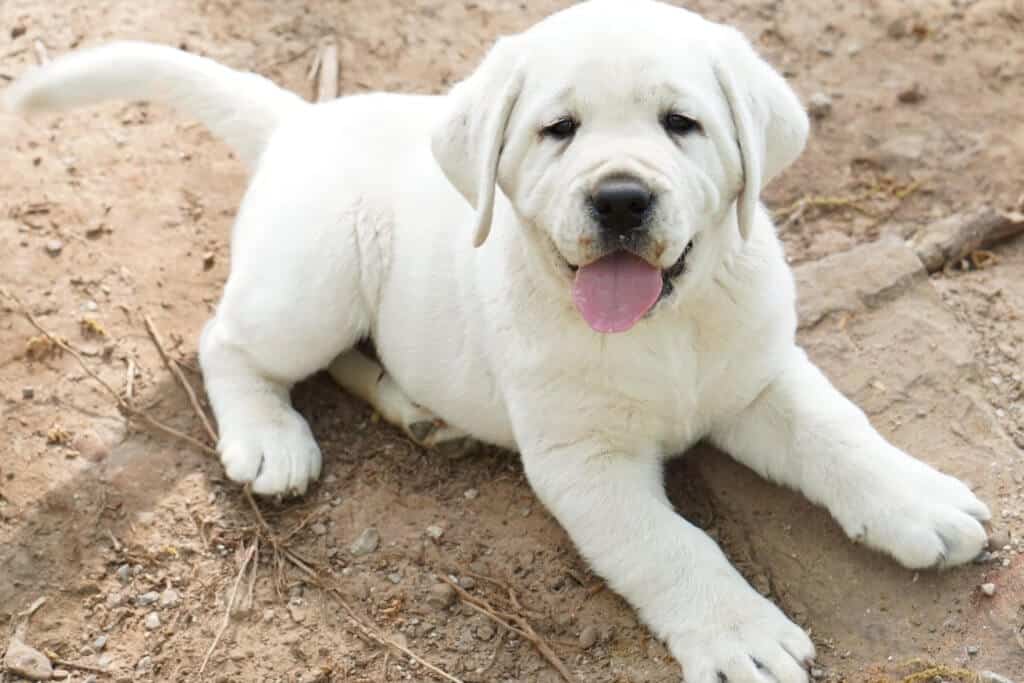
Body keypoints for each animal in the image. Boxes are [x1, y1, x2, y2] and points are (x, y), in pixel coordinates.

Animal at [4, 2, 987, 679]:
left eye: (682, 123)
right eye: (559, 130)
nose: (621, 199)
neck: (663, 326)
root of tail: (302, 120)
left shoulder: (758, 375)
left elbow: (838, 432)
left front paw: (917, 499)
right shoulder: (583, 462)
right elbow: (672, 545)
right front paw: (739, 630)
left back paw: (416, 409)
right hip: (314, 283)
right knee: (227, 340)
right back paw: (270, 436)